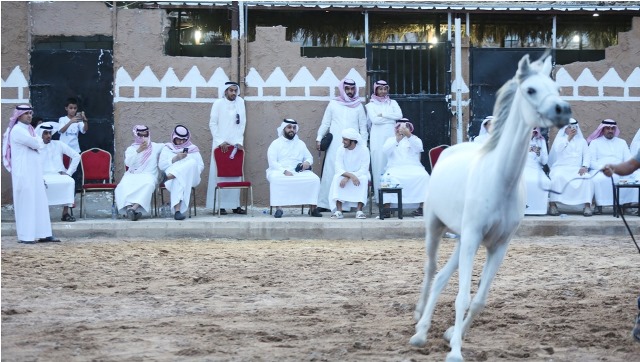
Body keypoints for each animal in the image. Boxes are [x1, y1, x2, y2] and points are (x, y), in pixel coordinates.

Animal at [410, 54, 568, 362]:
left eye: (556, 88)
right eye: (530, 89)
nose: (562, 110)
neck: (500, 181)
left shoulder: (498, 245)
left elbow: (479, 299)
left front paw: (453, 335)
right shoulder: (472, 238)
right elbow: (462, 296)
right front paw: (455, 352)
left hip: (461, 240)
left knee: (441, 277)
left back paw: (424, 330)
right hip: (435, 227)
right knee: (431, 269)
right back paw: (419, 321)